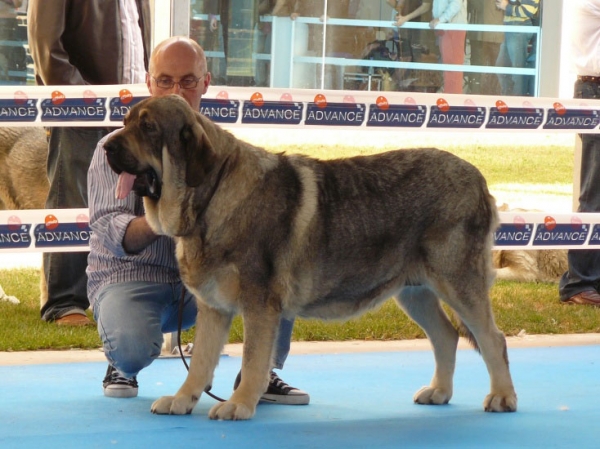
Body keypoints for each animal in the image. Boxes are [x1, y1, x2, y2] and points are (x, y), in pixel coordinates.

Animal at [103, 94, 516, 420]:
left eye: (149, 128)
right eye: (125, 122)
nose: (106, 145)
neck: (210, 195)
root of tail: (480, 179)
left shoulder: (259, 306)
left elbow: (252, 359)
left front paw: (239, 404)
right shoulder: (214, 308)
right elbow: (201, 362)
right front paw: (183, 399)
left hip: (458, 283)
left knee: (492, 339)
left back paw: (502, 397)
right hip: (415, 292)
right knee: (446, 336)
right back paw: (440, 392)